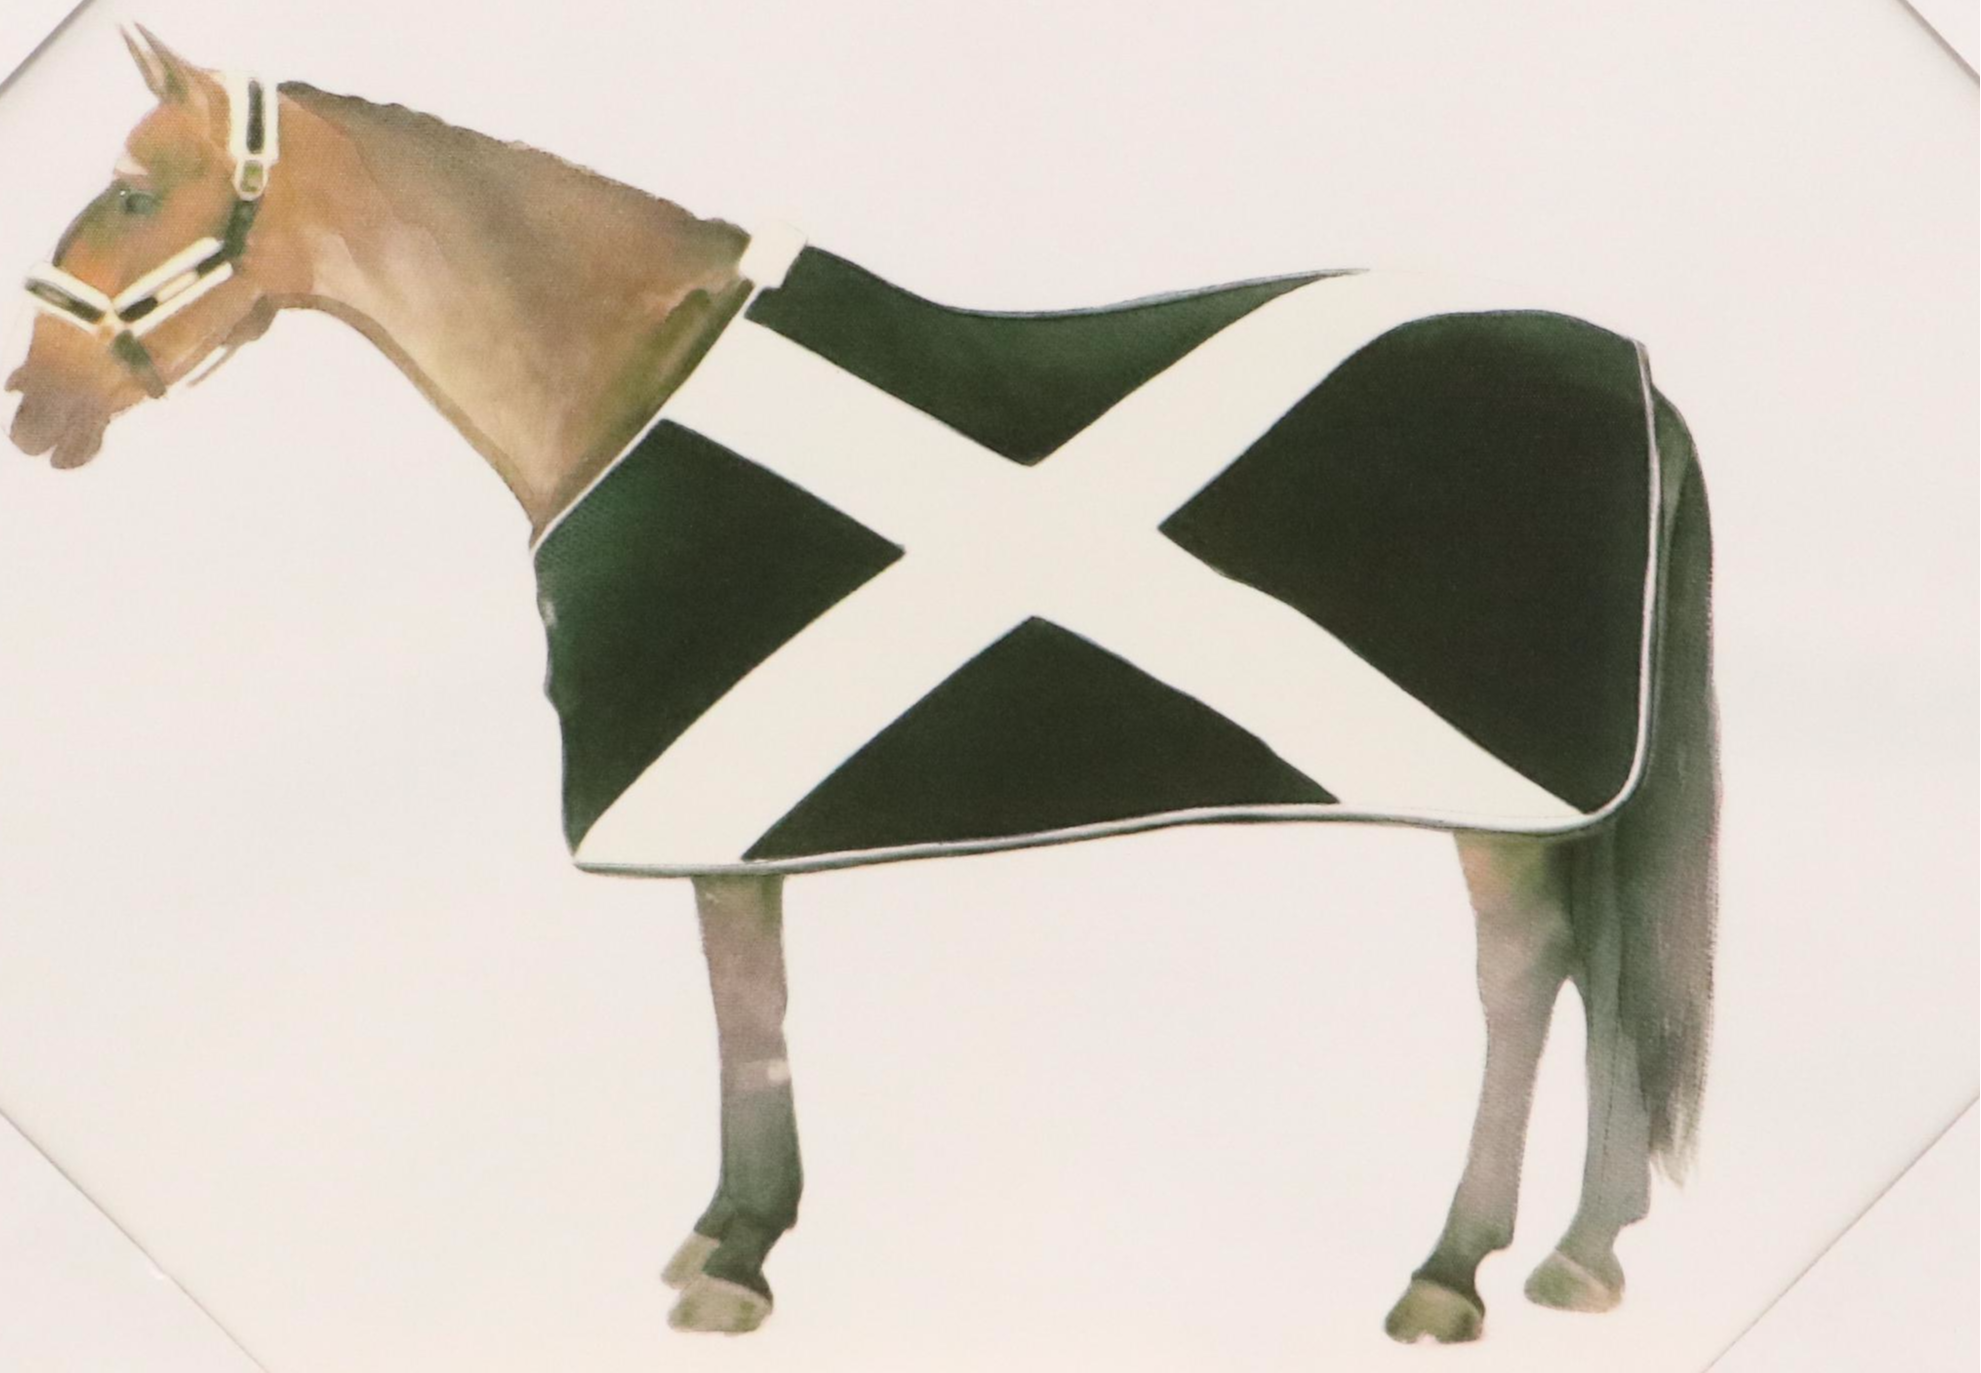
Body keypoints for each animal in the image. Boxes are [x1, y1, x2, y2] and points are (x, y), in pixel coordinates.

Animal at [6, 26, 1719, 1346]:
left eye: (139, 190)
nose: (35, 405)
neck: (626, 374)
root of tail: (1636, 375)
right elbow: (748, 1003)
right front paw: (727, 1234)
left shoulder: (711, 813)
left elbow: (747, 1009)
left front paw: (739, 1254)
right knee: (1603, 974)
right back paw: (1582, 1256)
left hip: (1501, 801)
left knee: (1526, 979)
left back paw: (1451, 1272)